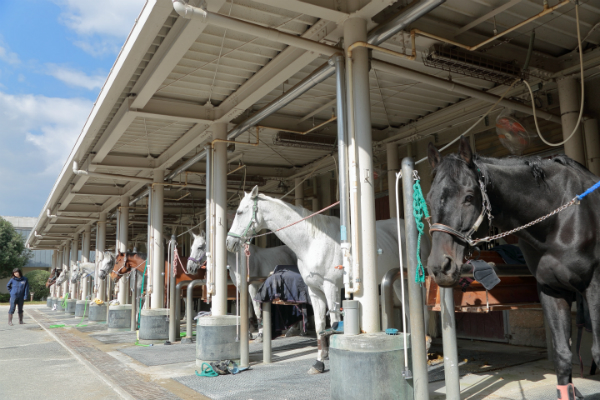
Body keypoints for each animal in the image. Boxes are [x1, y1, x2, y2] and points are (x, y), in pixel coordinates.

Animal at [226, 186, 432, 374]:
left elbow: (333, 323)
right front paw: (318, 363)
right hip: (398, 282)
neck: (312, 241)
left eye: (240, 212)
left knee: (422, 308)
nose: (229, 243)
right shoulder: (314, 290)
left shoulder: (331, 287)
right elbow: (319, 326)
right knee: (409, 308)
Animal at [426, 136, 600, 398]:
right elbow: (562, 356)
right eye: (428, 198)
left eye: (469, 197)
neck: (561, 219)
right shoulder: (552, 290)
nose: (440, 266)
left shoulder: (594, 287)